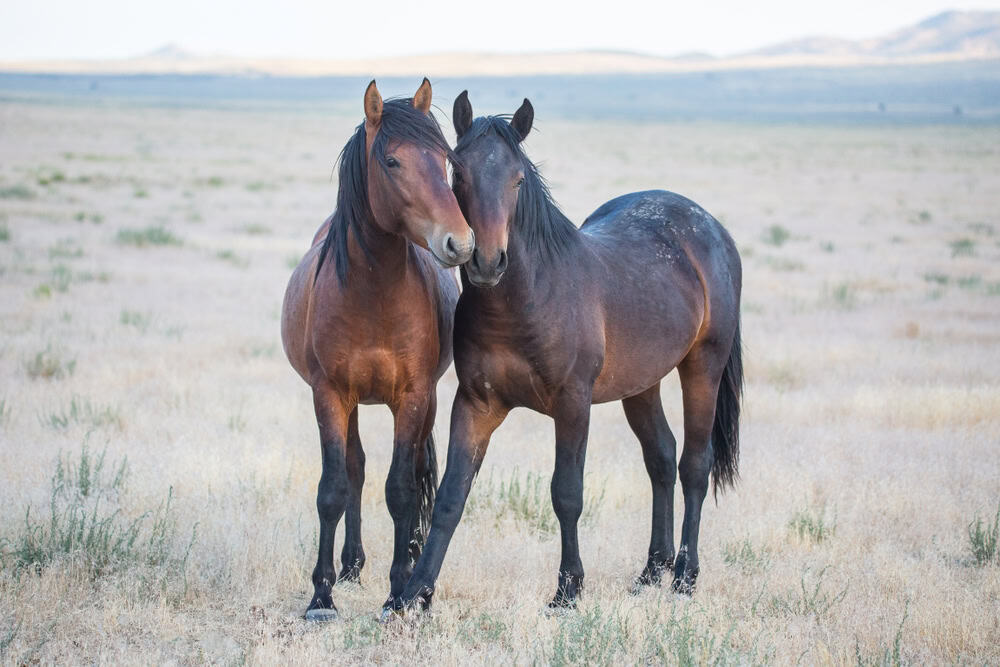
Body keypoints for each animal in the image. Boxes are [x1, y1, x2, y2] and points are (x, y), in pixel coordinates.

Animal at [281, 79, 475, 620]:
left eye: (445, 159)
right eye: (392, 161)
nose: (460, 242)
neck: (373, 293)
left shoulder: (412, 396)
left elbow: (402, 490)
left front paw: (398, 591)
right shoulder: (328, 394)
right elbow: (333, 488)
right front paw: (321, 596)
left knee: (411, 473)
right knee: (355, 467)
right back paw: (350, 565)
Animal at [388, 92, 743, 614]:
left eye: (517, 179)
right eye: (459, 173)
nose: (487, 261)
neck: (525, 301)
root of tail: (711, 228)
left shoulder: (573, 405)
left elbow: (566, 494)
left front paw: (568, 589)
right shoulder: (476, 404)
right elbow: (452, 495)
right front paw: (413, 595)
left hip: (703, 367)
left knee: (694, 465)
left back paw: (684, 576)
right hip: (642, 384)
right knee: (660, 457)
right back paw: (651, 572)